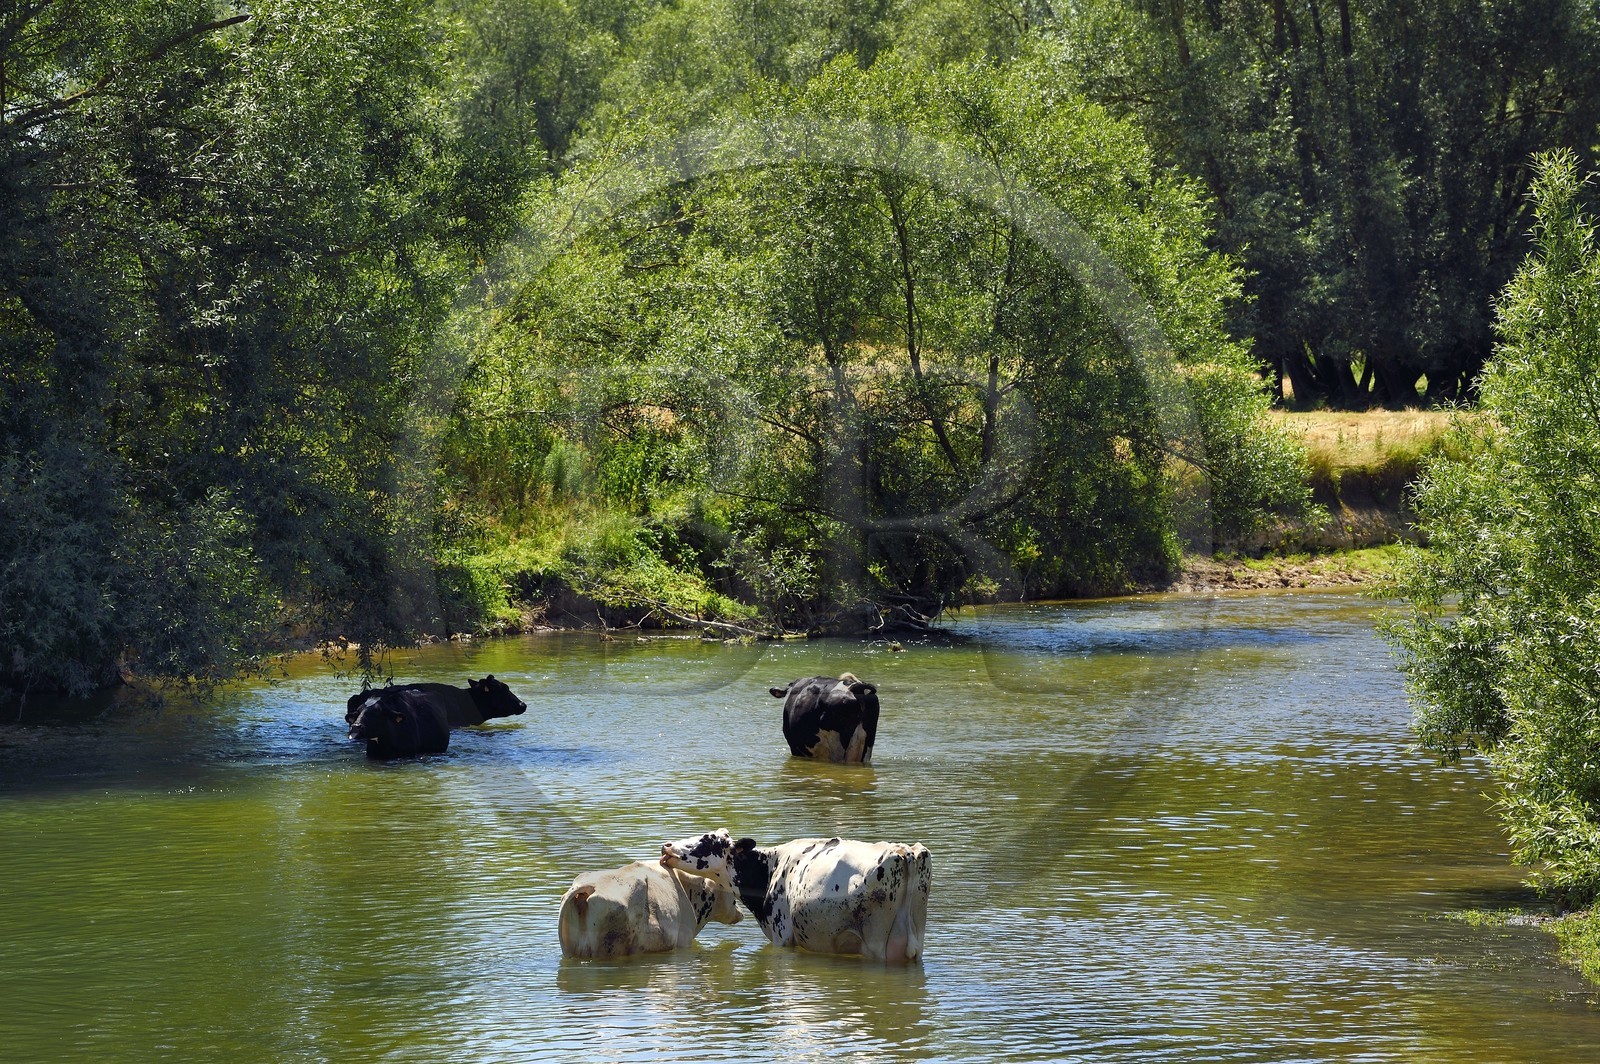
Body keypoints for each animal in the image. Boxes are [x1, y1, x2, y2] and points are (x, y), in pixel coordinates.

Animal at [661, 829, 931, 963]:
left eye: (707, 841)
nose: (667, 846)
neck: (770, 868)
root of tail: (903, 850)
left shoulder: (782, 935)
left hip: (876, 943)